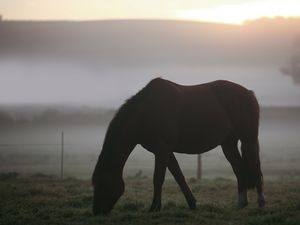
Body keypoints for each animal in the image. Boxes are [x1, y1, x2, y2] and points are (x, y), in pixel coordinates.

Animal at [91, 77, 264, 214]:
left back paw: (261, 204)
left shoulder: (162, 149)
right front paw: (192, 204)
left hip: (248, 140)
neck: (147, 111)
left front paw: (154, 208)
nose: (97, 211)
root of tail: (249, 93)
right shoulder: (164, 151)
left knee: (255, 167)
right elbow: (178, 176)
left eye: (101, 183)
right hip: (228, 144)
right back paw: (241, 204)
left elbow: (158, 178)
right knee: (239, 169)